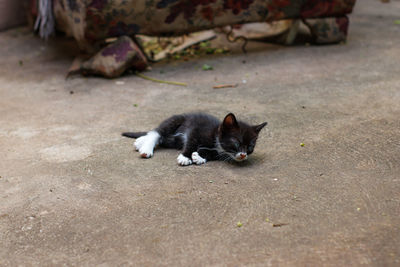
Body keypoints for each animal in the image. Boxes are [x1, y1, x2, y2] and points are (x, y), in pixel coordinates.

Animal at [120, 112, 268, 166]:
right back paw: (146, 147)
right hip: (175, 120)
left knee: (163, 138)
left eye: (250, 147)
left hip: (173, 141)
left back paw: (140, 141)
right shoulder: (195, 129)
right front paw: (186, 157)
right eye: (236, 143)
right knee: (157, 133)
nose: (243, 155)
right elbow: (191, 142)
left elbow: (210, 153)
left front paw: (199, 157)